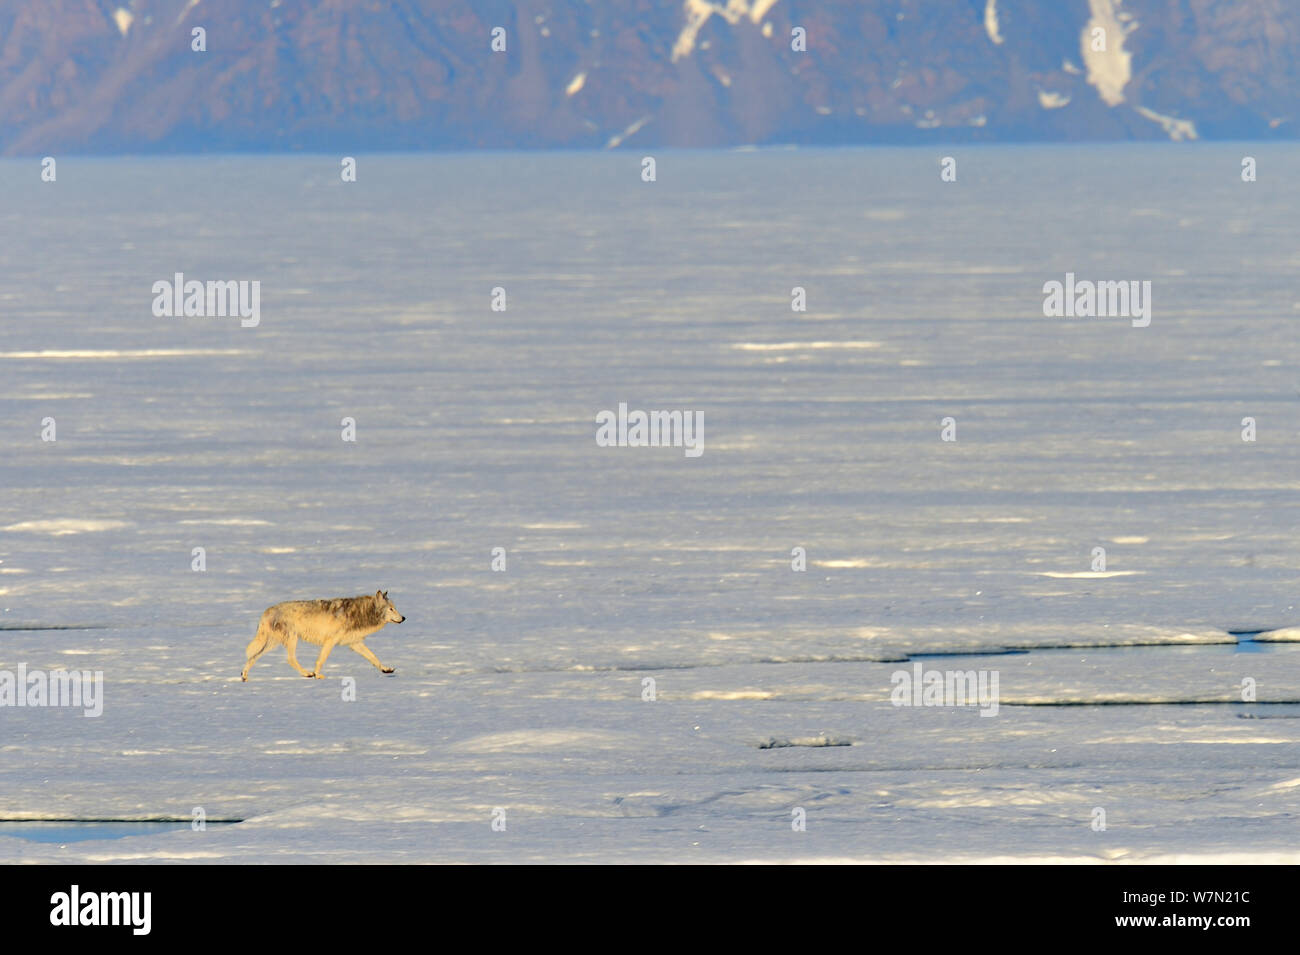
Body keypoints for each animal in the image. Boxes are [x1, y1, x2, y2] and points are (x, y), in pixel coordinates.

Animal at [241, 589, 403, 680]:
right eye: (391, 609)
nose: (404, 618)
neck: (360, 613)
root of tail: (267, 611)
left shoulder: (355, 643)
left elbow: (374, 657)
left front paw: (386, 669)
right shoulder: (330, 641)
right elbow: (321, 660)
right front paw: (317, 675)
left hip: (273, 643)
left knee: (253, 657)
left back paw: (244, 676)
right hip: (291, 639)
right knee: (290, 659)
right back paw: (307, 674)